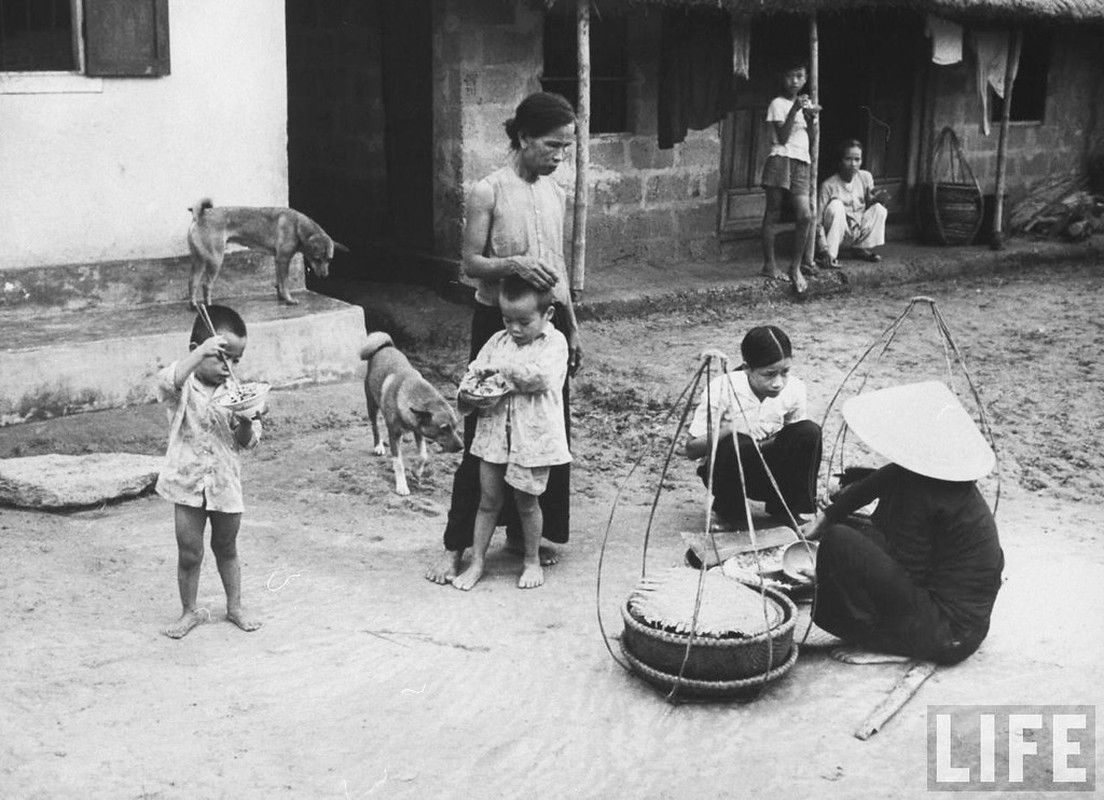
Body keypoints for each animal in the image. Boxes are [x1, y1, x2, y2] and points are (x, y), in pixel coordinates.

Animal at [185, 198, 346, 306]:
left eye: (329, 259)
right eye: (317, 258)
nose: (325, 275)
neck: (297, 226)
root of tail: (200, 215)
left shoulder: (278, 260)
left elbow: (279, 282)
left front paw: (282, 297)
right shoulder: (283, 260)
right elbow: (285, 282)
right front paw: (289, 300)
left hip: (199, 260)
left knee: (192, 281)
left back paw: (193, 305)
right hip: (215, 260)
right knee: (206, 285)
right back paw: (208, 305)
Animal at [359, 331, 463, 492]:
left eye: (455, 427)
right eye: (444, 428)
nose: (461, 447)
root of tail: (386, 346)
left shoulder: (418, 431)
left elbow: (423, 455)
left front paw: (416, 471)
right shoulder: (394, 434)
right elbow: (398, 462)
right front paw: (402, 486)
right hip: (372, 406)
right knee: (375, 427)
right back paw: (378, 446)